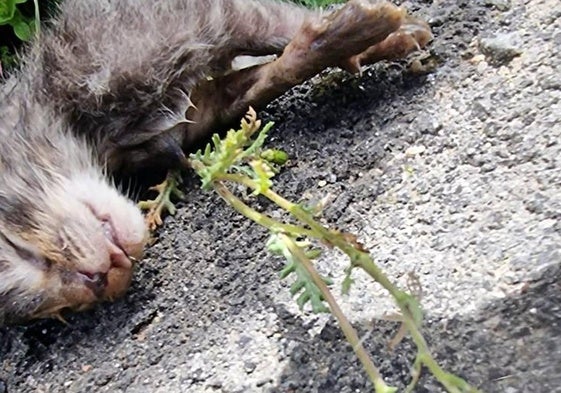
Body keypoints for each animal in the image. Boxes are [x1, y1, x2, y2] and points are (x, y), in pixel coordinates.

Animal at [0, 0, 430, 324]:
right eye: (58, 311)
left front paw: (381, 30)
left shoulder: (201, 17)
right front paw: (359, 39)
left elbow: (278, 25)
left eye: (14, 246)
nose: (102, 281)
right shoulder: (205, 106)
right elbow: (280, 71)